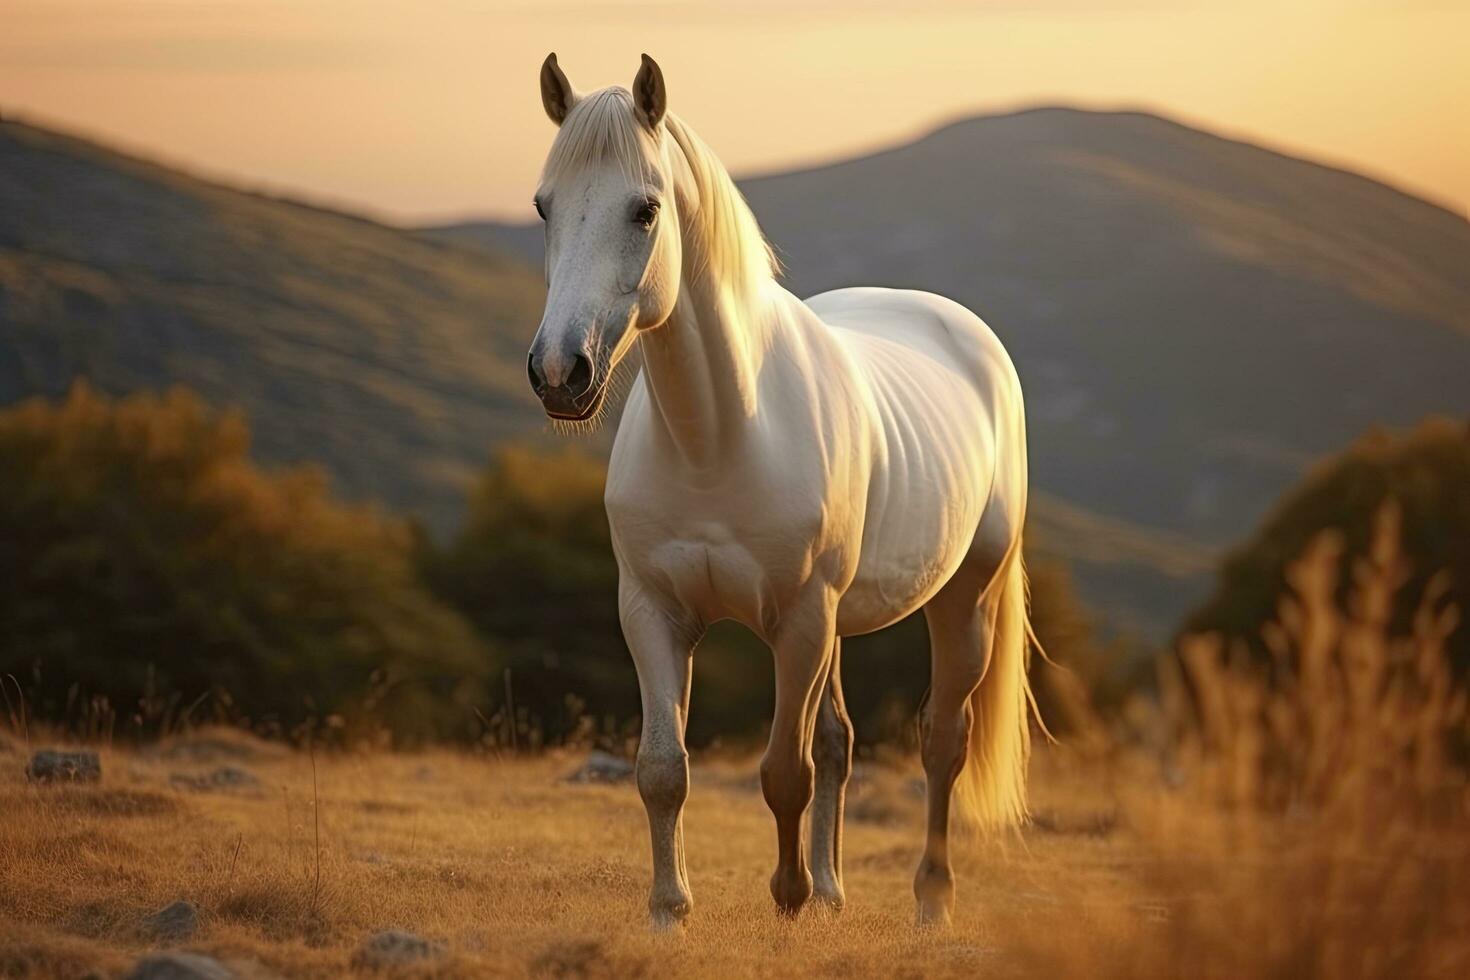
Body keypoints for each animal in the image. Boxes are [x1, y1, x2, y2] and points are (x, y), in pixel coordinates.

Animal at [526, 53, 1034, 928]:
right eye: (543, 205)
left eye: (644, 210)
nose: (561, 372)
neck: (722, 437)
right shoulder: (652, 612)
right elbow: (664, 769)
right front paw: (670, 909)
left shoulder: (798, 622)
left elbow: (783, 772)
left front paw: (787, 898)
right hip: (842, 621)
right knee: (841, 741)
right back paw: (834, 889)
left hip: (961, 601)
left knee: (942, 742)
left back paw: (929, 899)